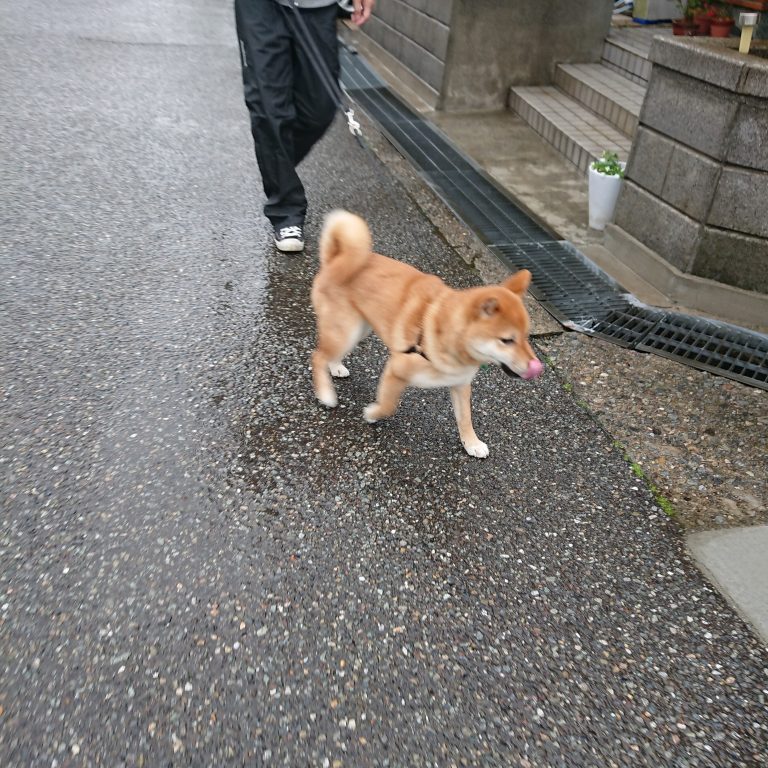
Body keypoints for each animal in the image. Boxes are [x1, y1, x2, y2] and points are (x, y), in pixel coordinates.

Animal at [308, 210, 544, 456]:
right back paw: (325, 393)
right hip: (345, 330)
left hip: (358, 330)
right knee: (317, 356)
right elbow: (388, 405)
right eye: (507, 340)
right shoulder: (396, 369)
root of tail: (335, 258)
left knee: (329, 354)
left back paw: (335, 367)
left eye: (526, 336)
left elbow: (465, 418)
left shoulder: (461, 384)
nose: (536, 366)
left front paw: (472, 443)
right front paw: (372, 413)